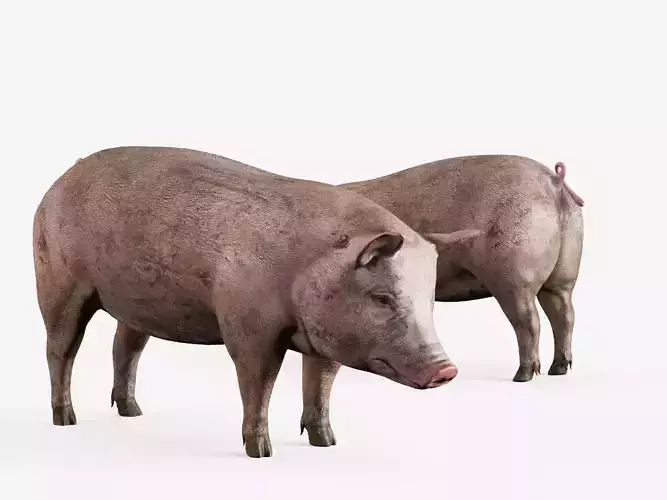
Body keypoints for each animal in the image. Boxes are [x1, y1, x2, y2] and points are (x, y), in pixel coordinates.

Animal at [32, 146, 481, 458]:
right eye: (383, 298)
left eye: (429, 301)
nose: (446, 370)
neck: (307, 270)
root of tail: (61, 179)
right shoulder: (249, 329)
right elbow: (258, 383)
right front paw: (261, 453)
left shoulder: (325, 338)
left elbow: (320, 385)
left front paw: (328, 444)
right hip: (57, 283)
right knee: (60, 348)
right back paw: (65, 421)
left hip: (134, 304)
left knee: (125, 347)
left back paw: (133, 413)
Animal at [295, 155, 584, 446]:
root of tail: (553, 181)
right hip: (564, 273)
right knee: (565, 314)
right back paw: (559, 369)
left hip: (514, 273)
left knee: (530, 321)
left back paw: (523, 376)